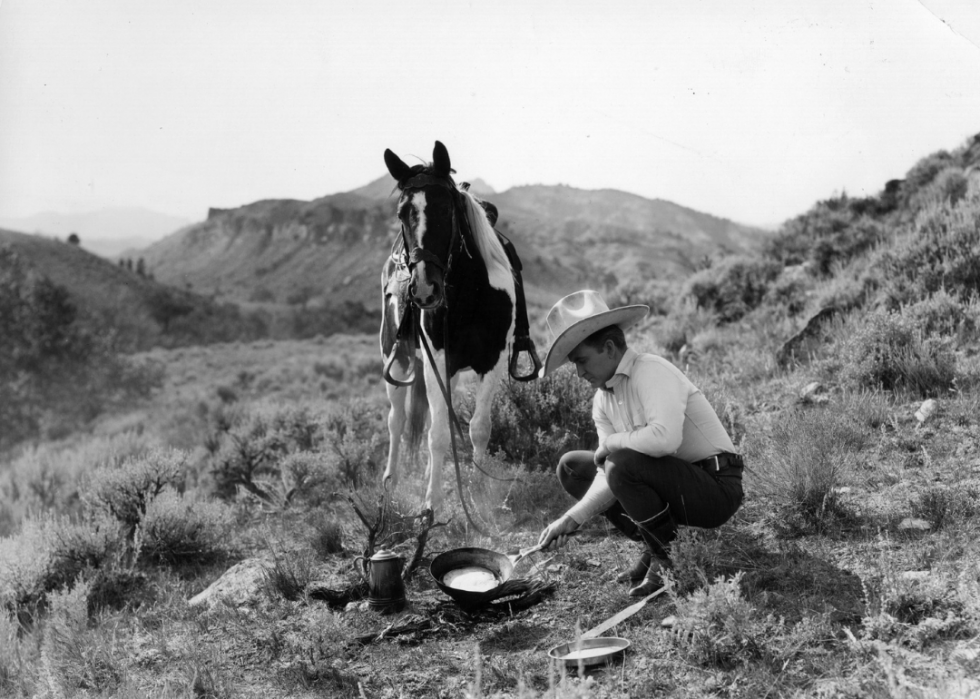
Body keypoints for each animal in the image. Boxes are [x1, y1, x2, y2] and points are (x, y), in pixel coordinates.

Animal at [380, 144, 520, 516]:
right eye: (401, 213)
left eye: (445, 208)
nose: (424, 289)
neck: (470, 295)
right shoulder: (435, 360)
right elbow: (439, 434)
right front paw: (432, 504)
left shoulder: (492, 361)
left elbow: (478, 429)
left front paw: (477, 493)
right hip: (397, 359)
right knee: (397, 420)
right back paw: (390, 481)